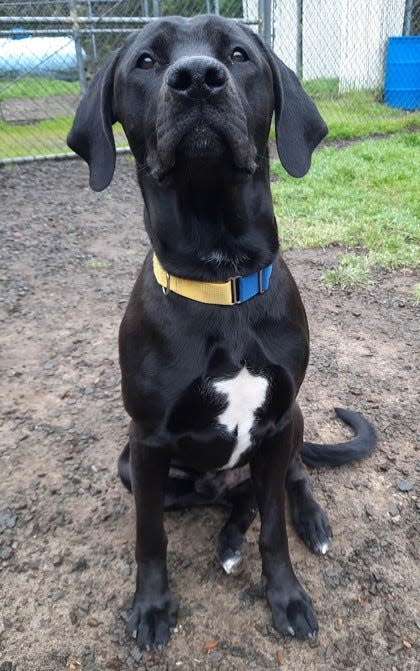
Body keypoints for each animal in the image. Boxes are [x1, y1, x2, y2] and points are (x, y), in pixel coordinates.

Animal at [67, 14, 376, 652]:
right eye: (146, 61)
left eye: (237, 54)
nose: (197, 80)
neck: (221, 279)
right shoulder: (147, 442)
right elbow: (150, 537)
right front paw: (151, 608)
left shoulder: (279, 422)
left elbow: (275, 529)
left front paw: (286, 597)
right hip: (133, 465)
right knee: (234, 500)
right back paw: (228, 535)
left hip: (294, 421)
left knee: (284, 484)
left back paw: (304, 522)